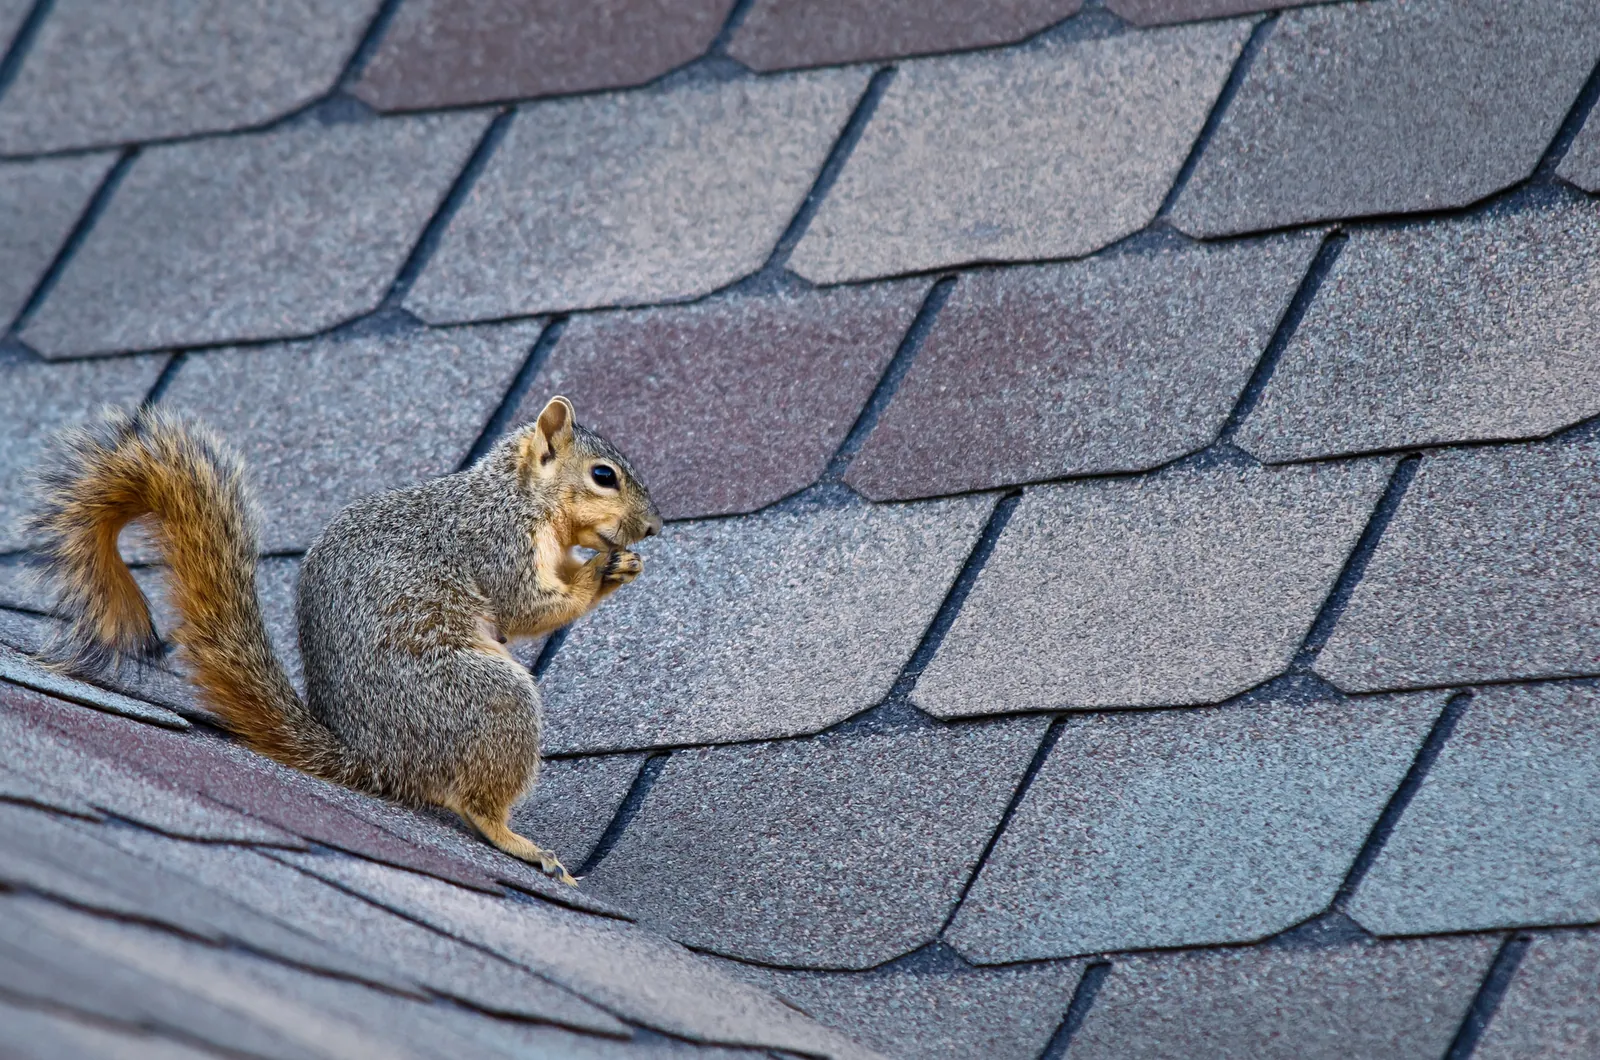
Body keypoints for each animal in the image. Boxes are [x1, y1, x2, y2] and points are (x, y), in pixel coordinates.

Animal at [30, 396, 660, 885]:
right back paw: (519, 842)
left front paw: (617, 563)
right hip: (486, 697)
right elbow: (526, 605)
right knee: (476, 802)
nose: (654, 527)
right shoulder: (494, 543)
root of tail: (373, 760)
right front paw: (600, 573)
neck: (519, 495)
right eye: (604, 475)